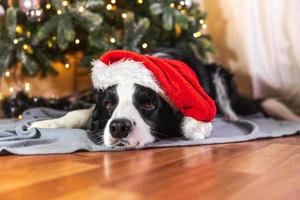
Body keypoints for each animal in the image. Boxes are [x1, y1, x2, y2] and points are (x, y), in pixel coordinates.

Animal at [31, 48, 300, 148]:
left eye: (149, 104)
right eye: (109, 104)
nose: (119, 127)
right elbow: (78, 113)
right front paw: (45, 122)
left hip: (219, 71)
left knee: (229, 104)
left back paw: (231, 117)